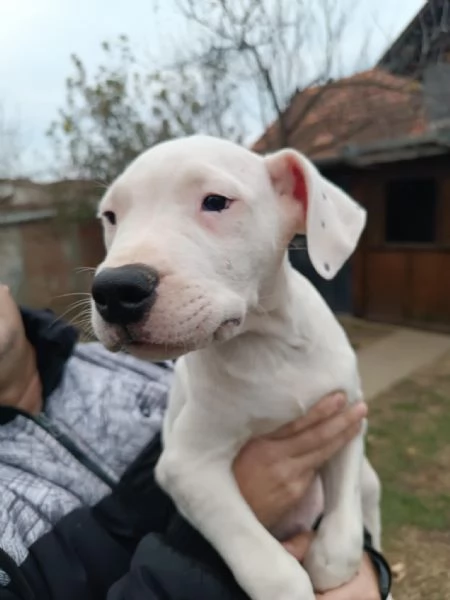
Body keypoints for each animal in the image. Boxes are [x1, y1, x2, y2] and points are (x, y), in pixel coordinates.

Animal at [91, 136, 384, 600]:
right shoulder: (189, 466)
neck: (266, 347)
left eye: (215, 202)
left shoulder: (347, 419)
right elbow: (270, 566)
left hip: (372, 484)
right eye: (111, 217)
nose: (115, 290)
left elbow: (344, 515)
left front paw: (330, 563)